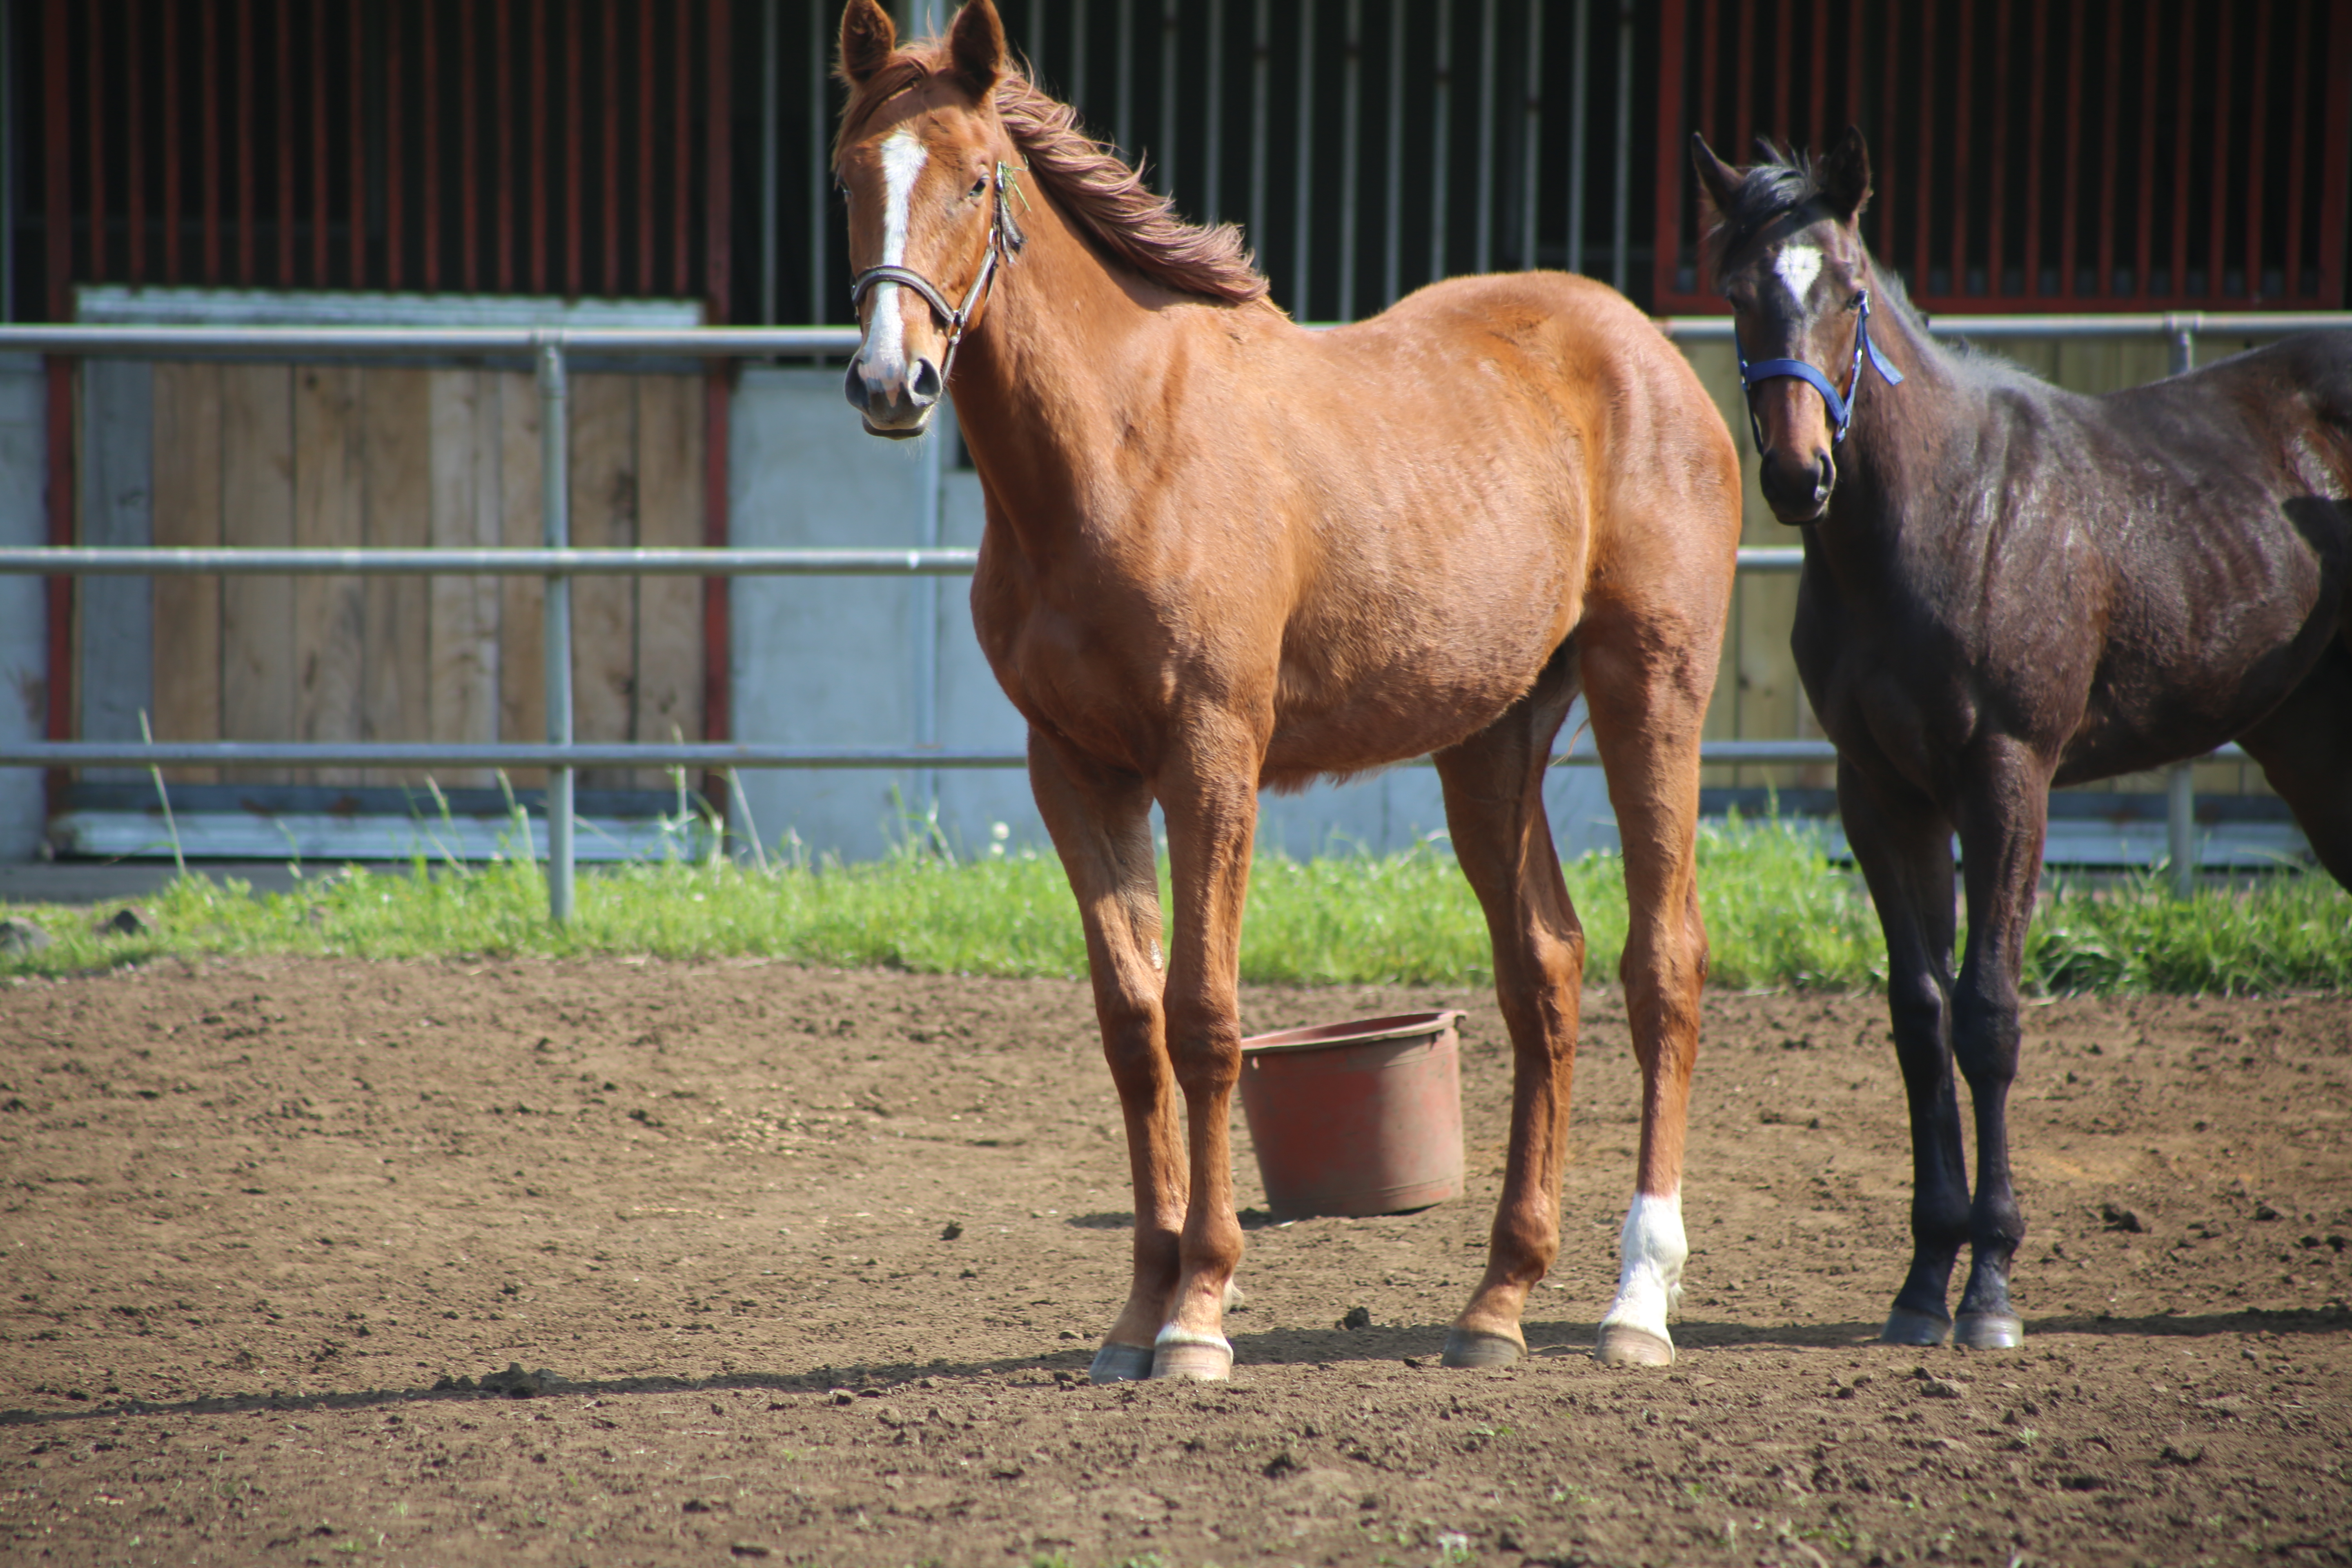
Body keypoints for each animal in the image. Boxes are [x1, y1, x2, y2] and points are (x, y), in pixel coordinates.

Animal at [837, 0, 1740, 1382]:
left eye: (978, 179)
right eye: (849, 177)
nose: (894, 381)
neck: (1117, 448)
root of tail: (1651, 354)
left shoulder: (1212, 757)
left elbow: (1205, 1018)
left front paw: (1200, 1312)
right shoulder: (1075, 769)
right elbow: (1132, 1025)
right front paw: (1136, 1313)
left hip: (1653, 692)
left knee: (1665, 966)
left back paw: (1636, 1302)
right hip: (1492, 742)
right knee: (1545, 970)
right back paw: (1497, 1300)